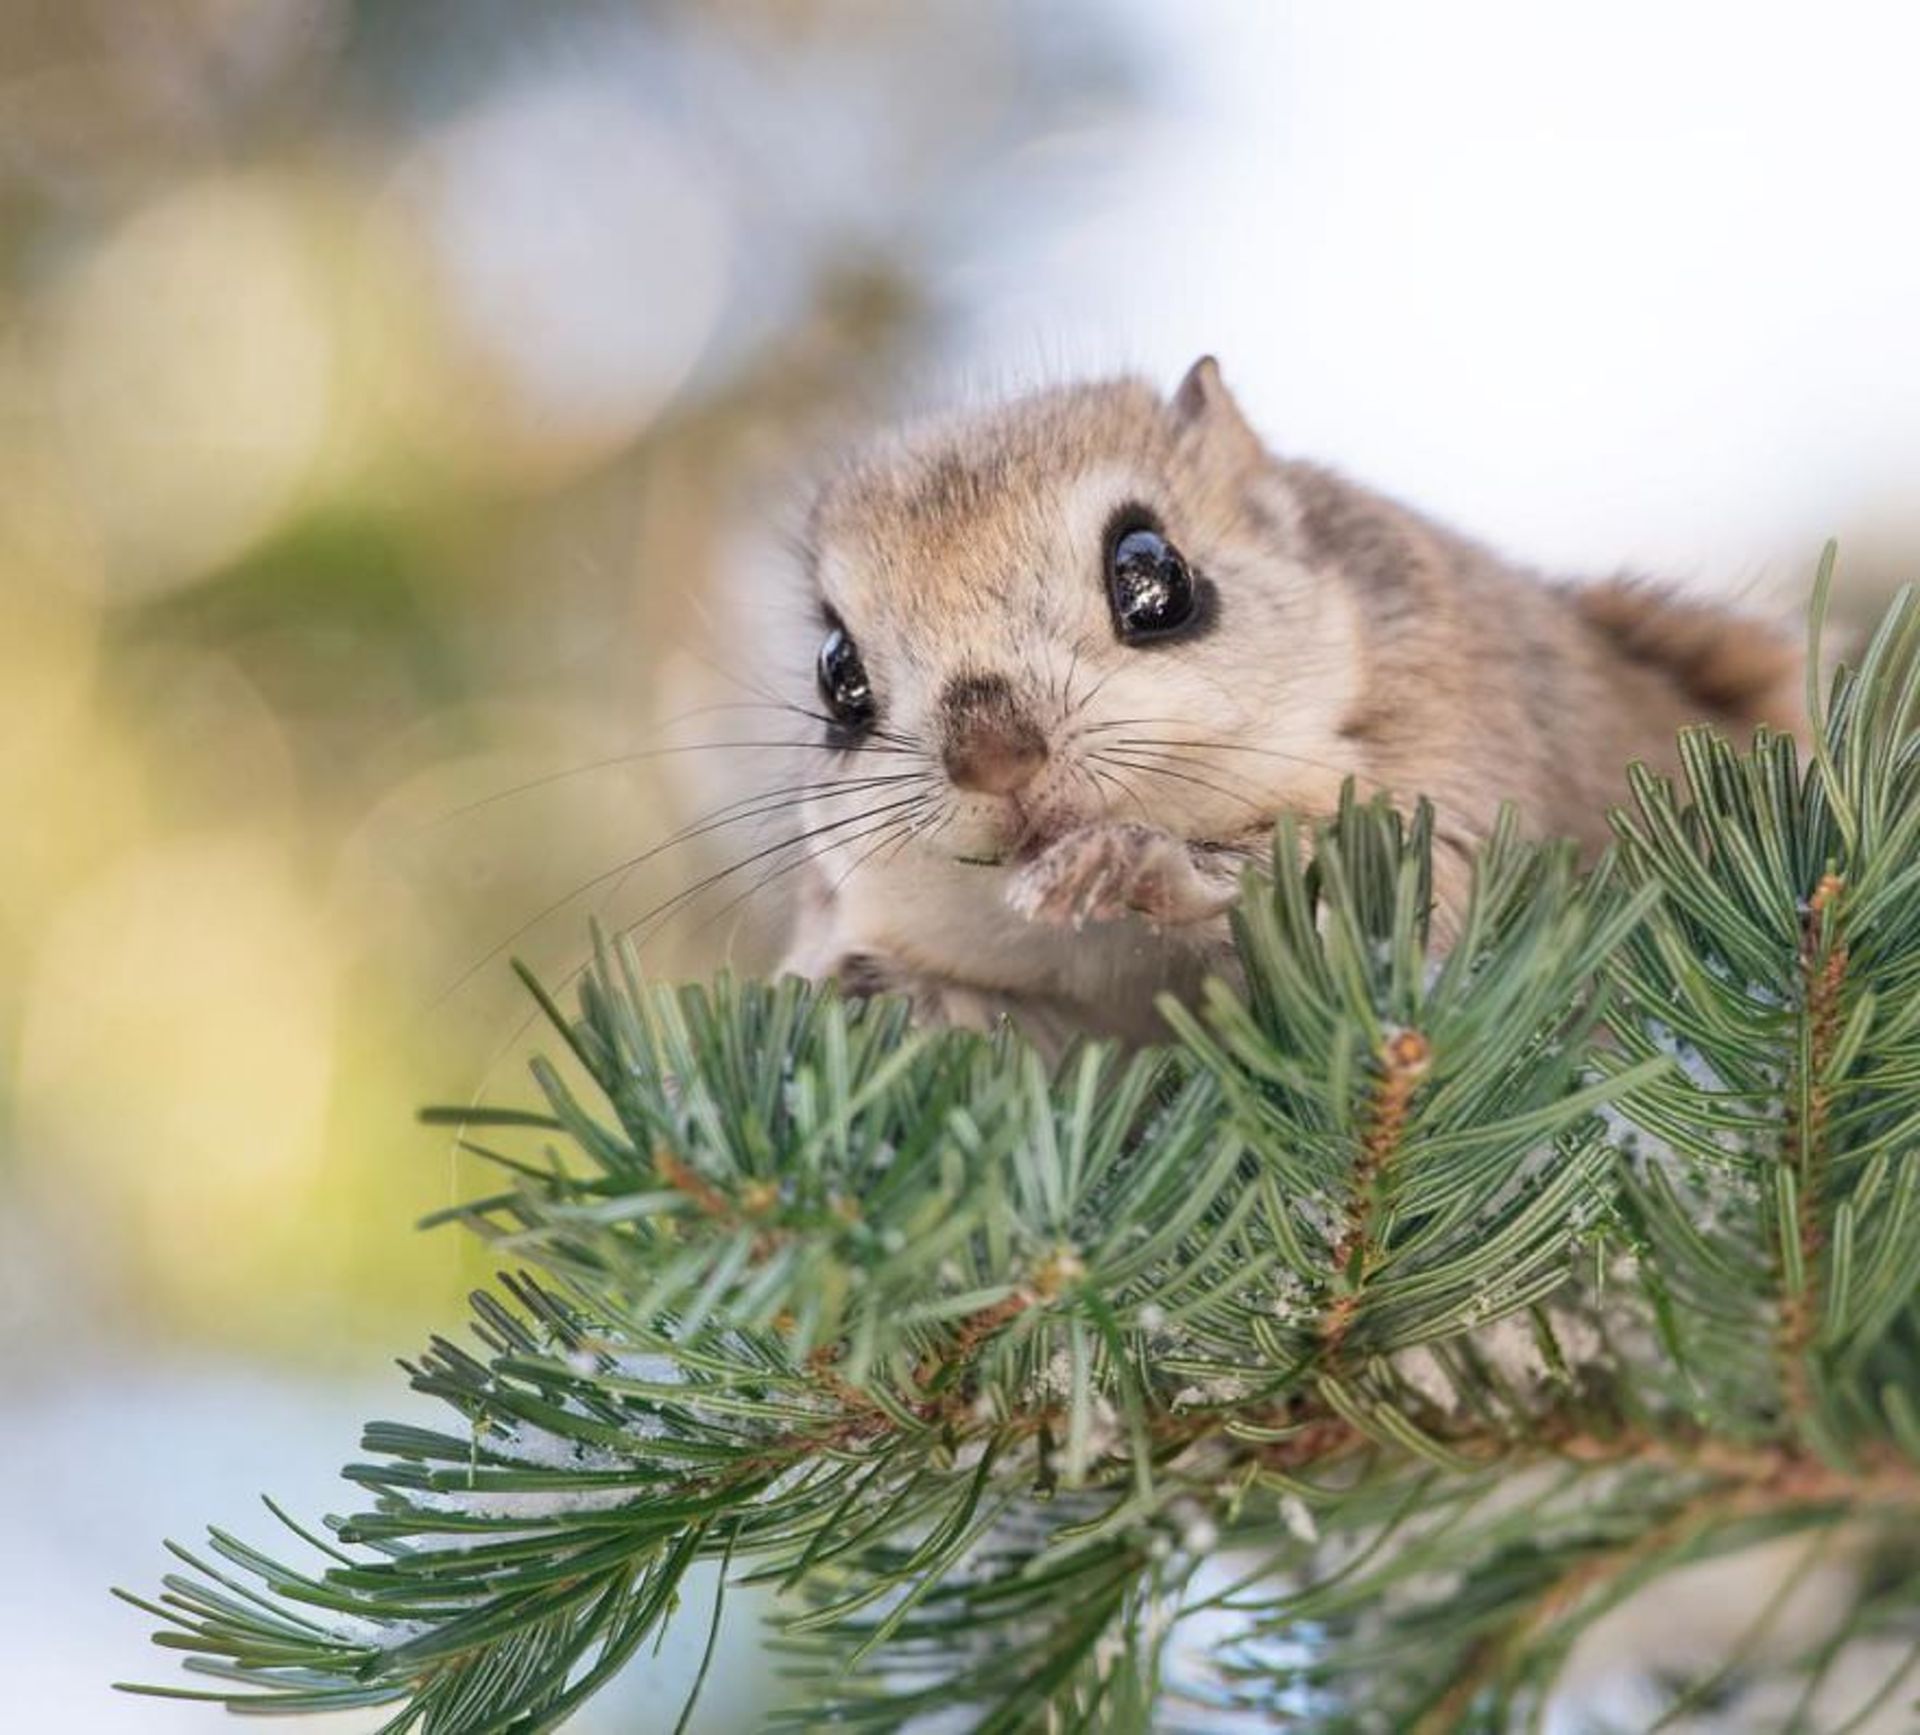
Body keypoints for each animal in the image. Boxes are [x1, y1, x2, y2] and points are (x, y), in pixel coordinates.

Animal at [764, 355, 1797, 1044]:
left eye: (1153, 575)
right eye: (836, 673)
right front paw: (877, 990)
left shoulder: (1461, 784)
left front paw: (1132, 861)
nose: (992, 758)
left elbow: (1398, 901)